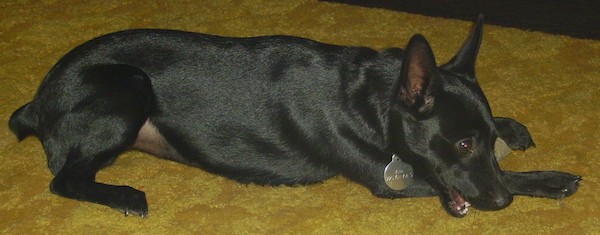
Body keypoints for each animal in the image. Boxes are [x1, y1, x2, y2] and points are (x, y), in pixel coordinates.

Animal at [9, 16, 580, 218]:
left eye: (479, 138)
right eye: (461, 146)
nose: (501, 205)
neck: (375, 101)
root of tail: (38, 99)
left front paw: (508, 126)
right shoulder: (391, 179)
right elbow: (515, 174)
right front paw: (549, 180)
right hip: (131, 85)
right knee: (65, 179)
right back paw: (123, 196)